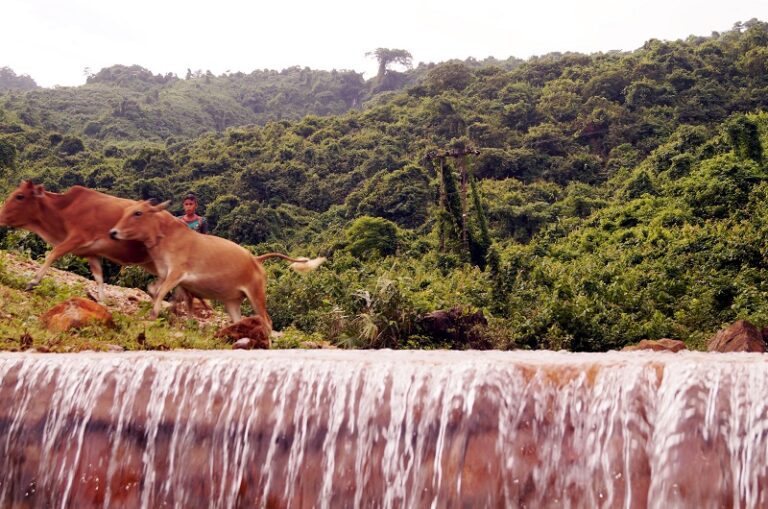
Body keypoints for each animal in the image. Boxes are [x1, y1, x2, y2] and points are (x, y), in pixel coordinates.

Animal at [108, 199, 324, 326]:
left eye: (138, 213)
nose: (113, 232)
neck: (166, 236)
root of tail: (255, 259)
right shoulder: (169, 277)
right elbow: (157, 291)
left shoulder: (177, 273)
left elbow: (161, 293)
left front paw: (153, 316)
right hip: (233, 302)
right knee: (239, 320)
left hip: (256, 295)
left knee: (267, 321)